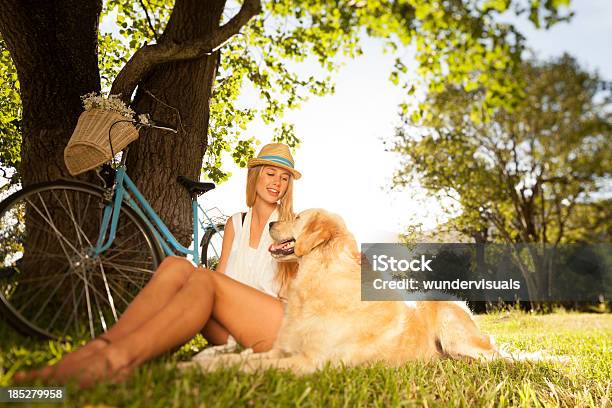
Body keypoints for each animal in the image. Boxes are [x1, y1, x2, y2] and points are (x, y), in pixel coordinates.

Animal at [180, 209, 556, 374]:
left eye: (297, 216)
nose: (271, 222)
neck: (317, 279)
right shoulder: (281, 350)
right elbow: (243, 359)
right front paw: (197, 362)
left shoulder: (311, 362)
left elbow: (248, 367)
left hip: (454, 329)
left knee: (501, 358)